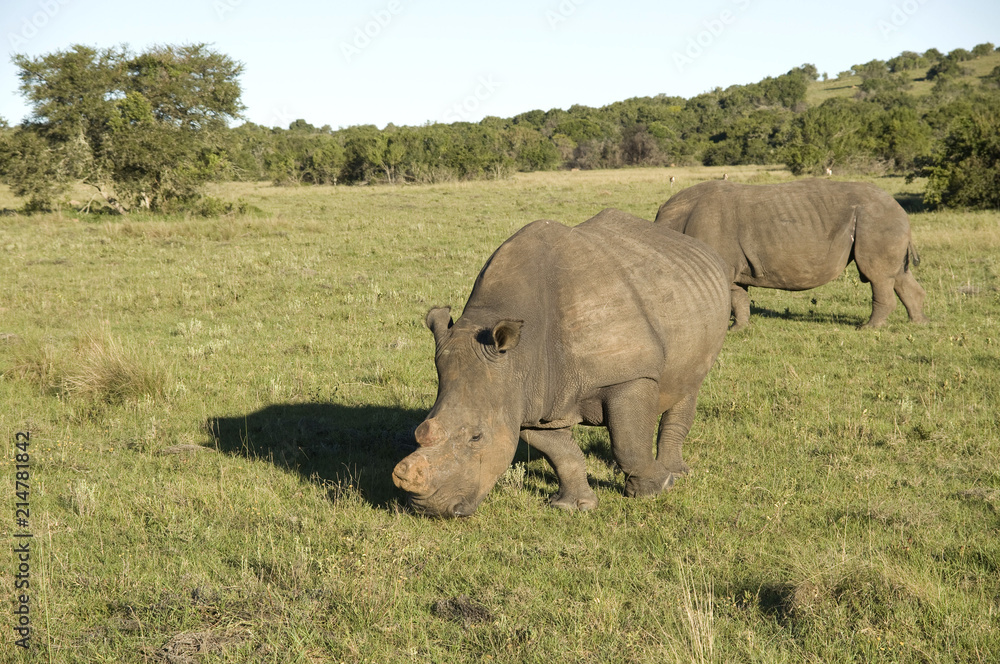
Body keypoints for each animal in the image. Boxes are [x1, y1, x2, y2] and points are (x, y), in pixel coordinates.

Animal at [392, 208, 731, 517]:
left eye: (477, 437)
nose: (430, 510)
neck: (519, 355)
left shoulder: (629, 374)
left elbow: (628, 442)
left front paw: (655, 491)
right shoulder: (530, 398)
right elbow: (560, 453)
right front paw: (573, 506)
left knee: (688, 385)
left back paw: (677, 473)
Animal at [654, 179, 928, 330]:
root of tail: (899, 208)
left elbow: (730, 298)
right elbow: (738, 297)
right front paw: (739, 329)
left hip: (876, 220)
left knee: (877, 276)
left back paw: (867, 328)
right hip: (883, 221)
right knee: (898, 275)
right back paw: (917, 323)